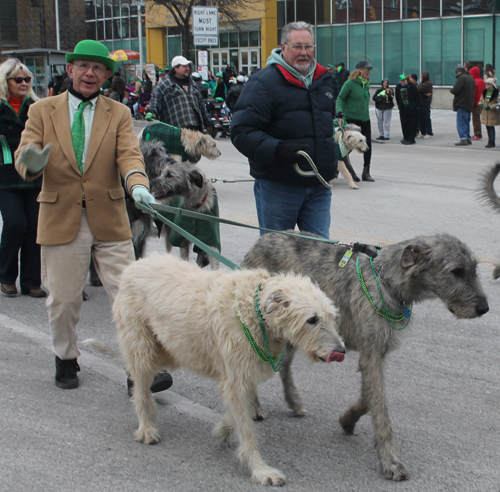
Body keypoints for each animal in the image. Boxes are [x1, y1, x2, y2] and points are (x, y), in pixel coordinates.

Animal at [94, 256, 346, 486]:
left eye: (332, 317)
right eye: (312, 319)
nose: (341, 351)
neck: (254, 311)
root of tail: (134, 265)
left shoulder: (244, 370)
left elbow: (238, 410)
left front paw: (222, 429)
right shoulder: (236, 373)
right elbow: (246, 427)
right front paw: (260, 469)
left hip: (170, 348)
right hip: (142, 346)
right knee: (140, 386)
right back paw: (146, 427)